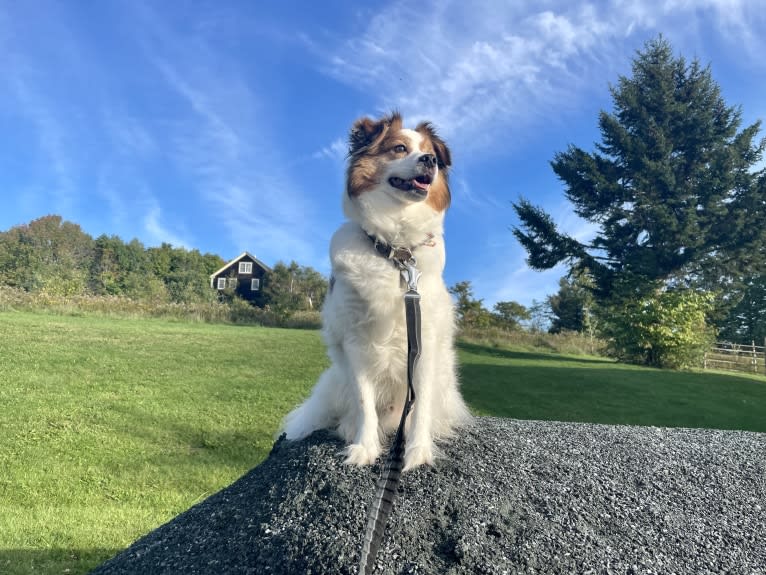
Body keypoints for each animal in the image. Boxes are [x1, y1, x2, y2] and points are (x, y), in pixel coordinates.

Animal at [282, 112, 472, 472]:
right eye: (399, 148)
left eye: (432, 155)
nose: (429, 162)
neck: (396, 252)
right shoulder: (356, 341)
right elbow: (363, 401)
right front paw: (365, 447)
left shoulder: (424, 342)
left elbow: (420, 405)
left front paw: (417, 451)